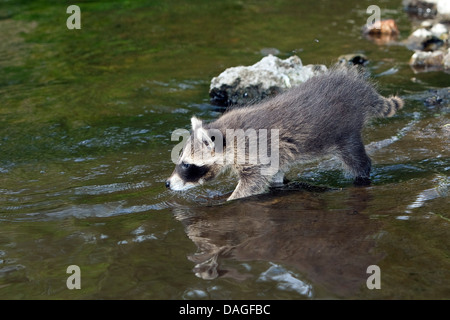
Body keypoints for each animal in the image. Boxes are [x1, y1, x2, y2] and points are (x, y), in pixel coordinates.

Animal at [165, 65, 404, 200]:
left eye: (186, 165)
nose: (167, 183)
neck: (227, 136)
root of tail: (359, 89)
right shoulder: (274, 155)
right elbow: (275, 175)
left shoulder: (255, 151)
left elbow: (253, 183)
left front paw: (231, 199)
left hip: (344, 130)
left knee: (357, 160)